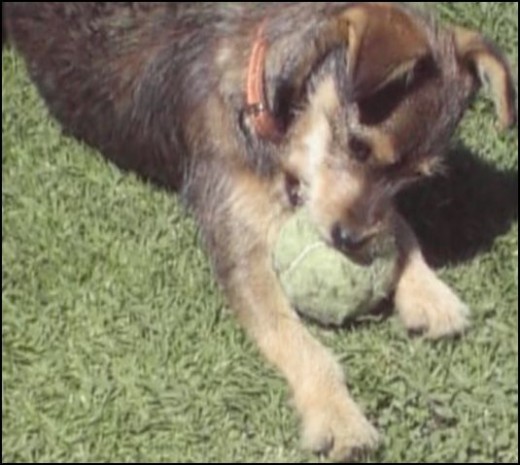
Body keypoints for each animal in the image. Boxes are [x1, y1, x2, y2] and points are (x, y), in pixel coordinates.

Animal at [4, 2, 516, 460]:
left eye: (412, 177)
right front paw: (337, 415)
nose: (350, 242)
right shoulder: (241, 245)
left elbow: (396, 224)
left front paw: (429, 292)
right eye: (358, 146)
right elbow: (300, 344)